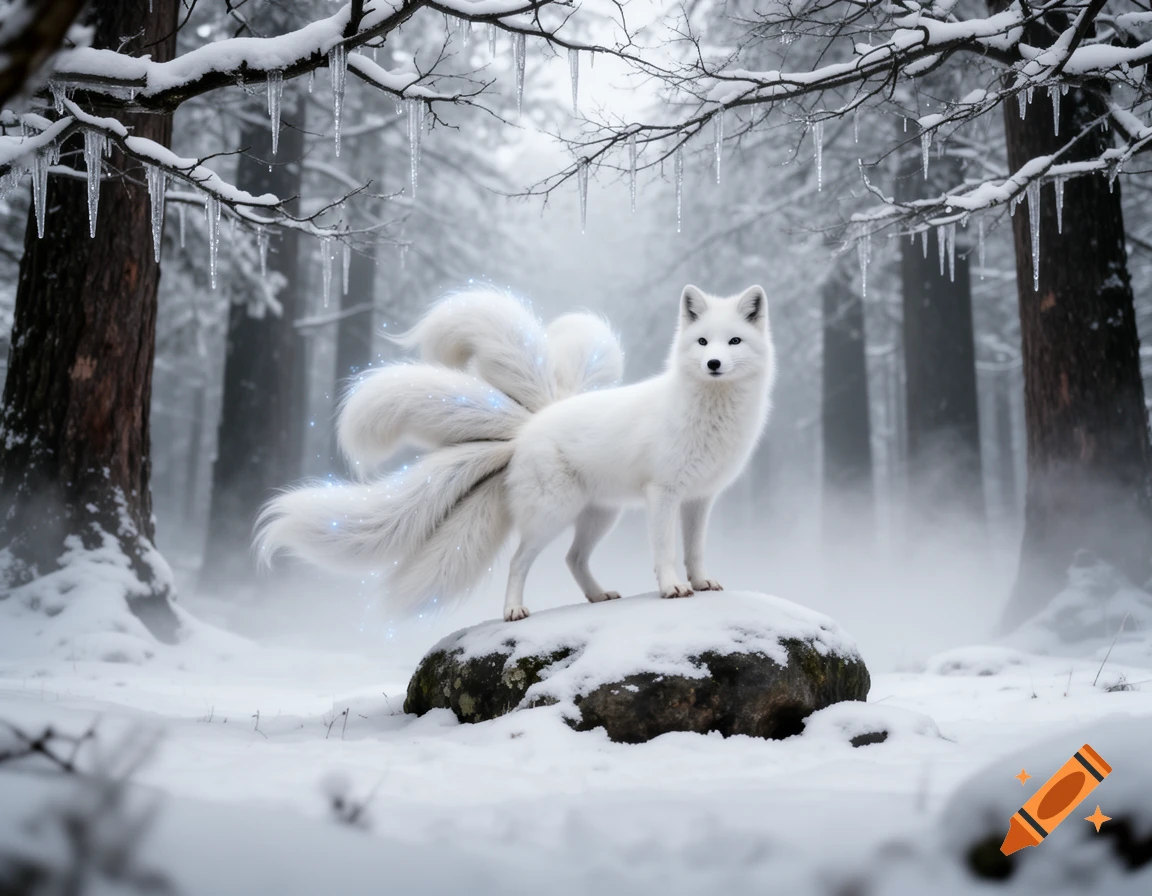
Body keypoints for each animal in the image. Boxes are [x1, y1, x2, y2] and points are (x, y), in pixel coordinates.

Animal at [256, 284, 776, 621]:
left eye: (734, 341)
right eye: (702, 341)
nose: (713, 363)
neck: (711, 417)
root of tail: (527, 428)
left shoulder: (700, 498)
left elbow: (696, 550)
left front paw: (702, 583)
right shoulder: (663, 494)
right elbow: (667, 552)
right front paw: (671, 588)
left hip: (598, 515)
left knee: (573, 560)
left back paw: (598, 597)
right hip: (553, 515)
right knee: (519, 561)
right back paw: (513, 610)